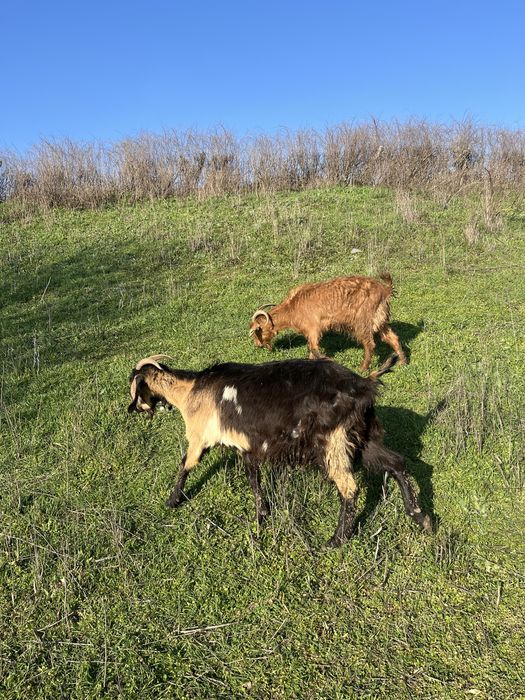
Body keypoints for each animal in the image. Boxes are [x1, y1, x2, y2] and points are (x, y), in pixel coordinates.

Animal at [128, 353, 432, 546]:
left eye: (134, 386)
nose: (133, 410)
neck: (192, 390)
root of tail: (364, 384)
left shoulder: (198, 436)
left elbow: (186, 465)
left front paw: (172, 500)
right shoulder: (246, 446)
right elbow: (254, 480)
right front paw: (262, 515)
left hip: (333, 442)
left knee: (349, 488)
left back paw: (335, 540)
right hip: (364, 438)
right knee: (397, 463)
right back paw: (420, 516)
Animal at [249, 273, 406, 372]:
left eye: (257, 332)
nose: (258, 345)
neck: (292, 307)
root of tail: (384, 290)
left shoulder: (313, 328)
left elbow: (314, 349)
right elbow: (312, 351)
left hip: (362, 321)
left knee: (369, 344)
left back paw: (363, 368)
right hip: (380, 321)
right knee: (393, 338)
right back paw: (402, 363)